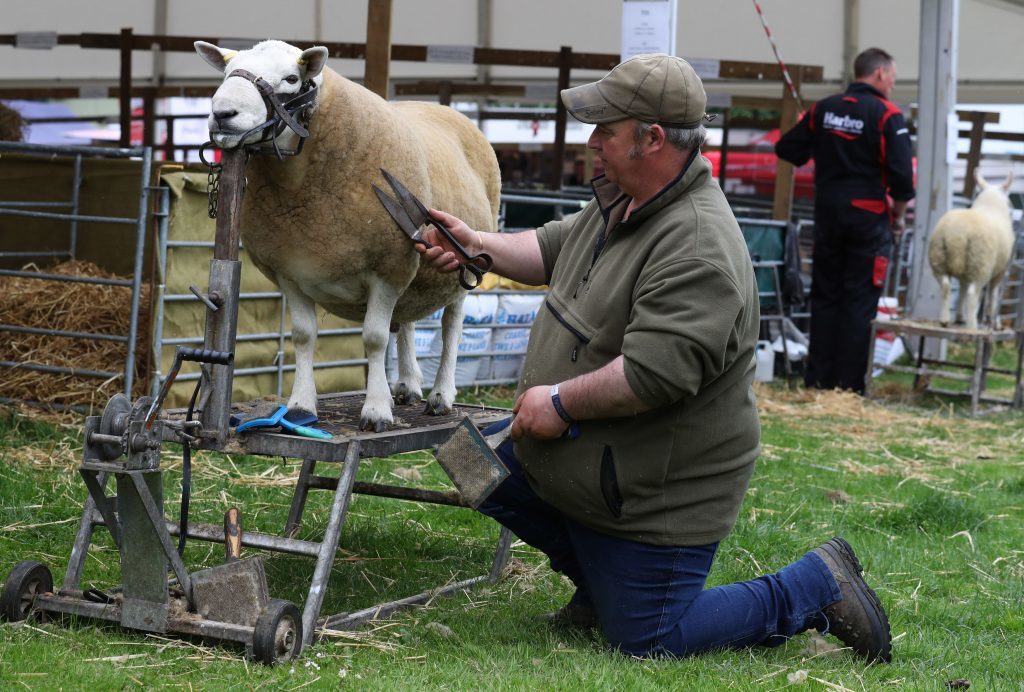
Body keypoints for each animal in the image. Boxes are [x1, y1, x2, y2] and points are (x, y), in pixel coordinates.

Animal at [195, 40, 499, 429]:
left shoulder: (388, 269)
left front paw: (376, 410)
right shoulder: (290, 273)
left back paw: (441, 396)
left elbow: (374, 339)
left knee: (451, 328)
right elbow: (303, 336)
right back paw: (407, 386)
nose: (223, 114)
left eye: (291, 78)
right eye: (227, 73)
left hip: (460, 267)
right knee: (408, 321)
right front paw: (301, 407)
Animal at [929, 168, 1015, 327]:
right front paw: (993, 321)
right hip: (980, 263)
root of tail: (957, 234)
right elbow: (993, 293)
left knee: (946, 286)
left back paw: (945, 319)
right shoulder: (1001, 269)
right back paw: (972, 325)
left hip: (938, 258)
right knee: (973, 293)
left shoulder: (965, 273)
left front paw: (959, 316)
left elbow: (962, 290)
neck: (991, 205)